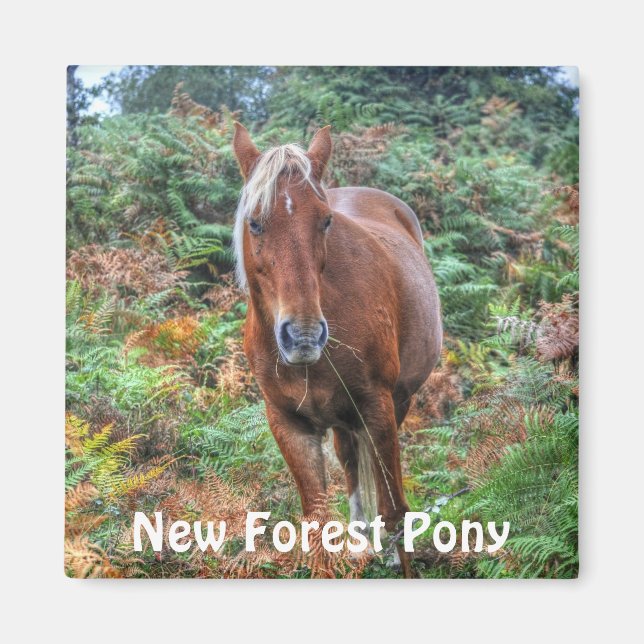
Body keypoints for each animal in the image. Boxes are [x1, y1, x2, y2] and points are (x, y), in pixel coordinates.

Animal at [232, 123, 442, 577]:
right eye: (255, 223)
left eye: (326, 221)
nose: (304, 336)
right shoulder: (290, 425)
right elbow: (316, 524)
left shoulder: (378, 408)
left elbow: (395, 510)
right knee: (350, 465)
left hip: (397, 403)